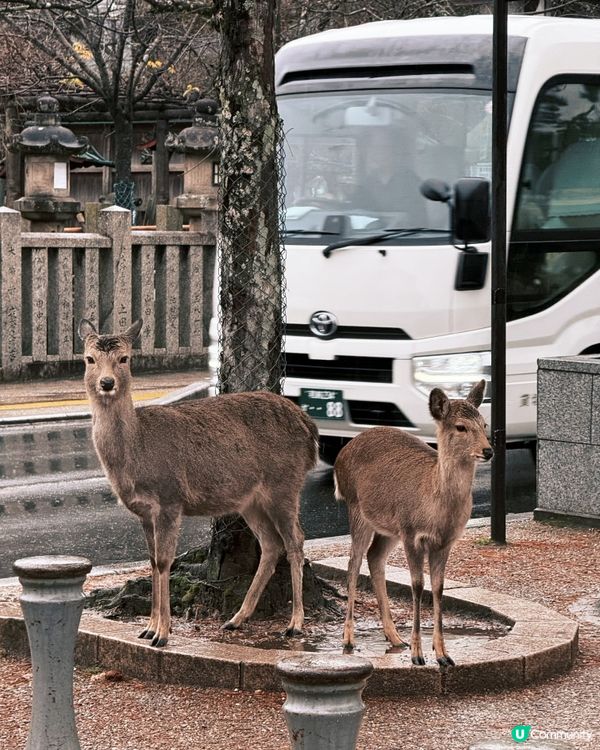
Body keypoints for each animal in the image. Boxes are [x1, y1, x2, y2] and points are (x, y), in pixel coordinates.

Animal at [78, 318, 319, 648]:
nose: (106, 383)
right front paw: (147, 628)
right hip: (251, 499)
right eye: (89, 359)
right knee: (271, 544)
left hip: (285, 483)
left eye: (124, 358)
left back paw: (295, 623)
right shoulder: (143, 511)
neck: (137, 450)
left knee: (296, 540)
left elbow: (164, 561)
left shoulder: (170, 499)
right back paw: (236, 619)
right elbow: (151, 561)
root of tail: (310, 428)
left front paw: (162, 634)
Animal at [333, 381, 492, 667]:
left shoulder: (445, 541)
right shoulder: (412, 534)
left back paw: (395, 637)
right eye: (460, 426)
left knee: (374, 557)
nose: (489, 450)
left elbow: (438, 588)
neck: (435, 508)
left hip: (389, 528)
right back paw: (349, 639)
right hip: (358, 509)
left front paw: (442, 654)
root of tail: (341, 455)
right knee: (354, 563)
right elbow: (417, 586)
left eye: (484, 424)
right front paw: (418, 655)